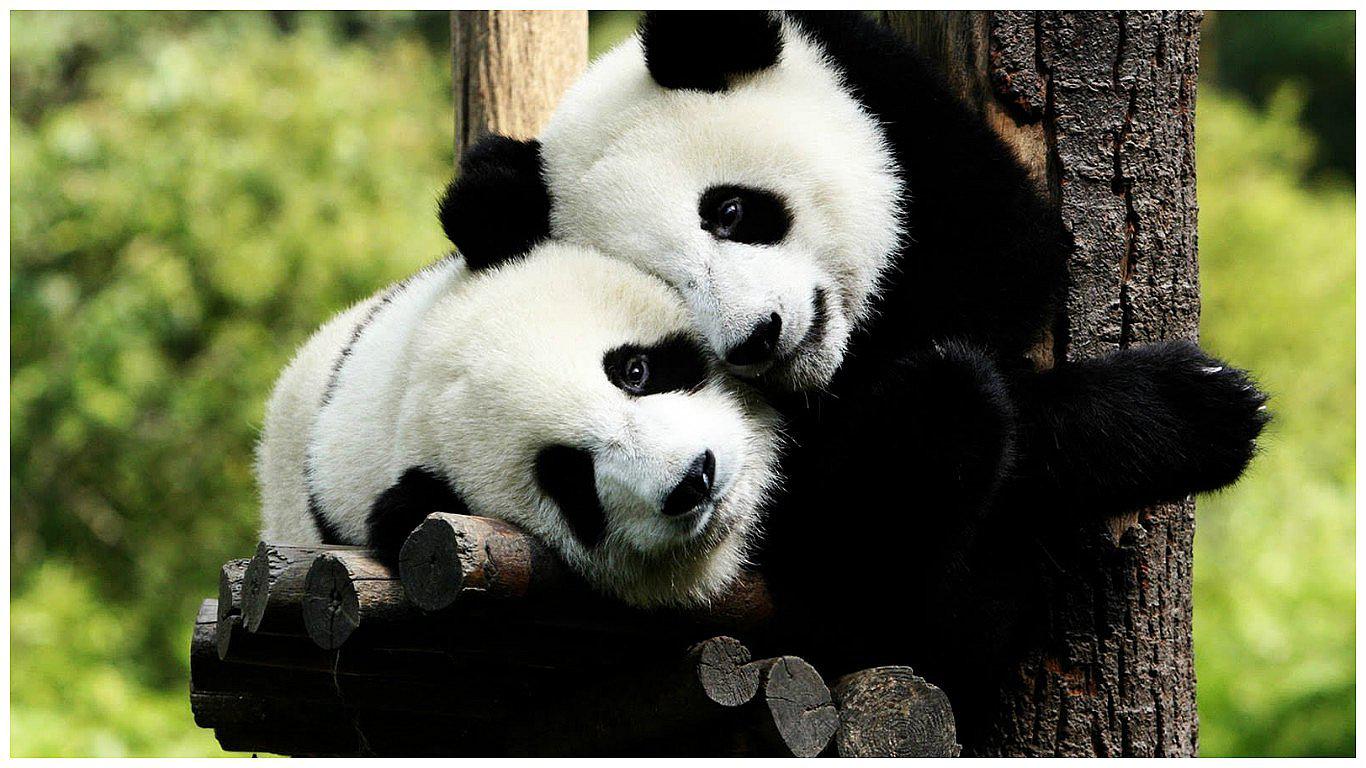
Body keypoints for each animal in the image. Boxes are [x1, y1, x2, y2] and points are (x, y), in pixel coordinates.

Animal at [437, 11, 1269, 706]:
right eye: (667, 288)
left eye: (729, 211)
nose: (758, 337)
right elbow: (844, 525)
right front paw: (1196, 412)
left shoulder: (903, 119)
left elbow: (1009, 260)